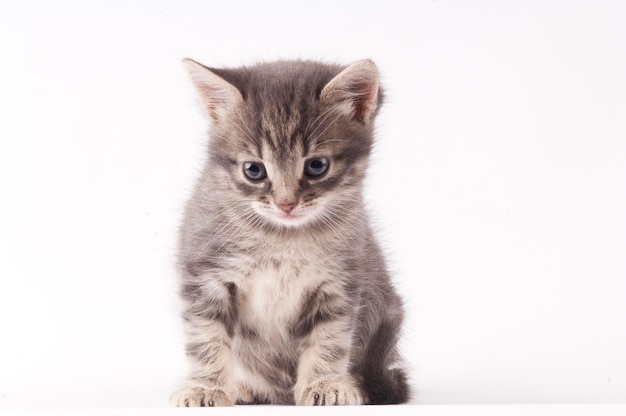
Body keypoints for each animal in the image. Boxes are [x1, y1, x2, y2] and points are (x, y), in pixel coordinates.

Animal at [169, 58, 410, 406]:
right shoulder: (204, 274)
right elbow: (205, 337)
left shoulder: (340, 282)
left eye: (317, 166)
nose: (286, 203)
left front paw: (326, 384)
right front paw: (207, 387)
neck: (281, 237)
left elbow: (330, 338)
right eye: (253, 170)